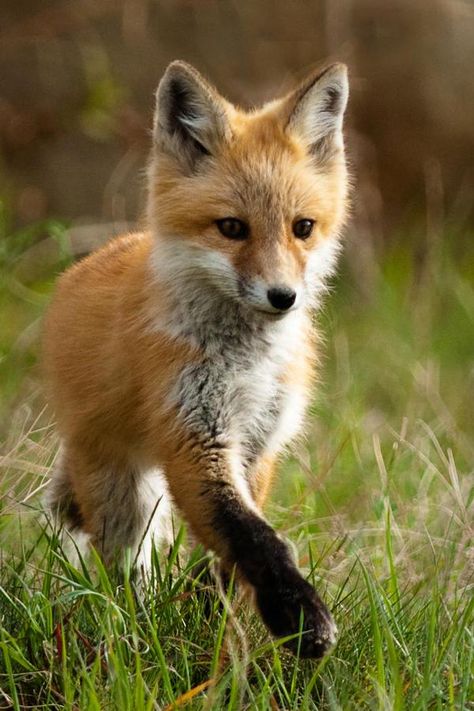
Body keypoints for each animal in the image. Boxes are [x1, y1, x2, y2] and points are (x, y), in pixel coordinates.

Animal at [42, 58, 350, 660]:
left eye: (302, 228)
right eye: (231, 228)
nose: (283, 297)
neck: (247, 363)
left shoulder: (257, 445)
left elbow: (234, 549)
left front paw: (223, 621)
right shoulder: (193, 437)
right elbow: (256, 537)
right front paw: (298, 615)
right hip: (124, 493)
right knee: (122, 568)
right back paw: (132, 629)